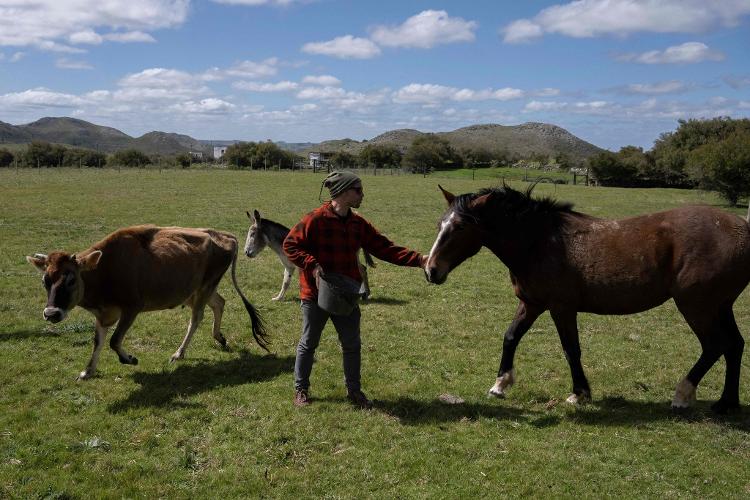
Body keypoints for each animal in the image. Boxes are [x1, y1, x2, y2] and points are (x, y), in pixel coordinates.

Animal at [27, 225, 268, 376]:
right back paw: (219, 337)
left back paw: (179, 352)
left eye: (71, 279)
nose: (51, 313)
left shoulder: (132, 308)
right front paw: (88, 371)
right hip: (196, 291)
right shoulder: (104, 313)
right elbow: (98, 341)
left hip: (205, 287)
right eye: (45, 280)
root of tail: (226, 236)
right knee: (219, 303)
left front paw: (130, 359)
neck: (104, 269)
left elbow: (114, 340)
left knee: (196, 318)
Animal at [426, 185, 748, 414]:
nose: (431, 270)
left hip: (697, 306)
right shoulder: (532, 304)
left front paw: (579, 393)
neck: (540, 242)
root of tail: (742, 228)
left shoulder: (561, 308)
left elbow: (571, 350)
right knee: (734, 345)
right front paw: (500, 385)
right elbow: (510, 337)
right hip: (721, 306)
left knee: (714, 346)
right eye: (440, 224)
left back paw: (682, 395)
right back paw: (726, 403)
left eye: (460, 227)